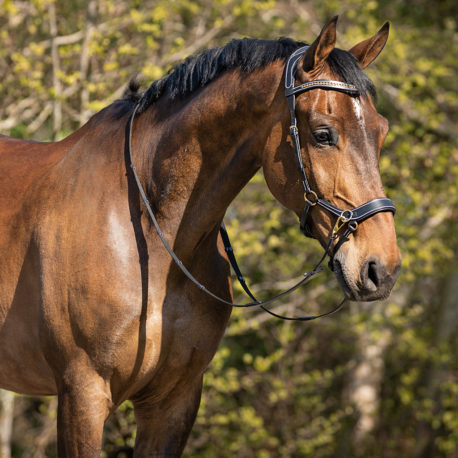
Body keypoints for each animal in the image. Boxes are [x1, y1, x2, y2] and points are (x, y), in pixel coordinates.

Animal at [0, 16, 400, 456]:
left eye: (381, 132)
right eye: (324, 134)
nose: (381, 269)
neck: (151, 238)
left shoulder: (173, 401)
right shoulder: (82, 394)